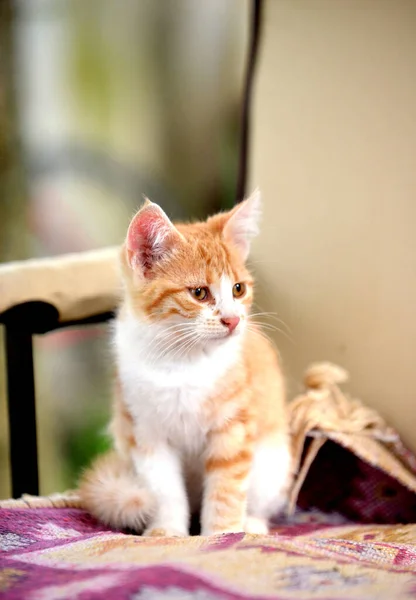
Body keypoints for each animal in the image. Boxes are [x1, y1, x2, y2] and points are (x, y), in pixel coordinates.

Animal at [79, 190, 292, 536]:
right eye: (199, 293)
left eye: (238, 289)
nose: (233, 320)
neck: (181, 362)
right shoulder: (146, 433)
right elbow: (164, 490)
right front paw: (167, 532)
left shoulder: (233, 426)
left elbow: (226, 488)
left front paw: (223, 534)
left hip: (273, 461)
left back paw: (253, 524)